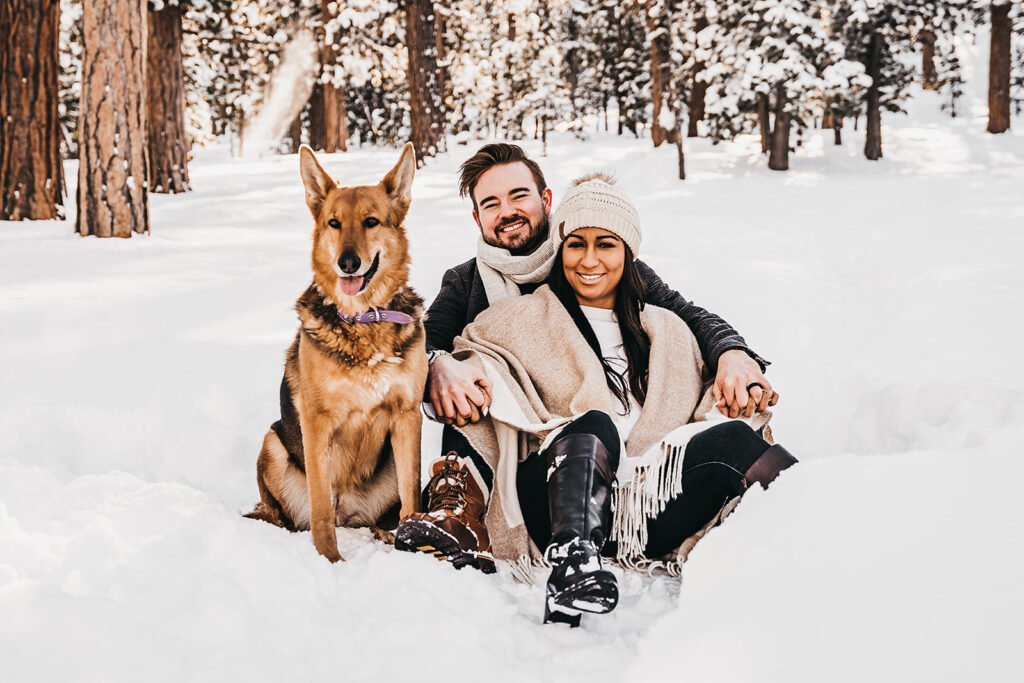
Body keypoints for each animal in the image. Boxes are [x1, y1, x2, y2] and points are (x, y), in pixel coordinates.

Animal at [245, 143, 425, 561]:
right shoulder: (317, 421)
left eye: (372, 221)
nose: (348, 263)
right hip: (272, 443)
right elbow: (321, 509)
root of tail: (350, 511)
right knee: (298, 513)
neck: (363, 320)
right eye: (333, 223)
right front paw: (331, 562)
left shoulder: (407, 417)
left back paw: (387, 534)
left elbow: (412, 496)